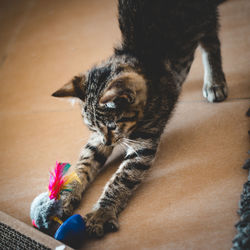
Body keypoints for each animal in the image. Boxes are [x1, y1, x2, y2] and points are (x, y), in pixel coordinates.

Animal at [51, 0, 228, 238]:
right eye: (93, 128)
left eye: (113, 126)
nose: (108, 141)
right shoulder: (96, 142)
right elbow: (85, 162)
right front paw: (66, 195)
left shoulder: (144, 143)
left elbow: (122, 178)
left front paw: (102, 213)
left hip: (202, 16)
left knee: (211, 40)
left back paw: (215, 81)